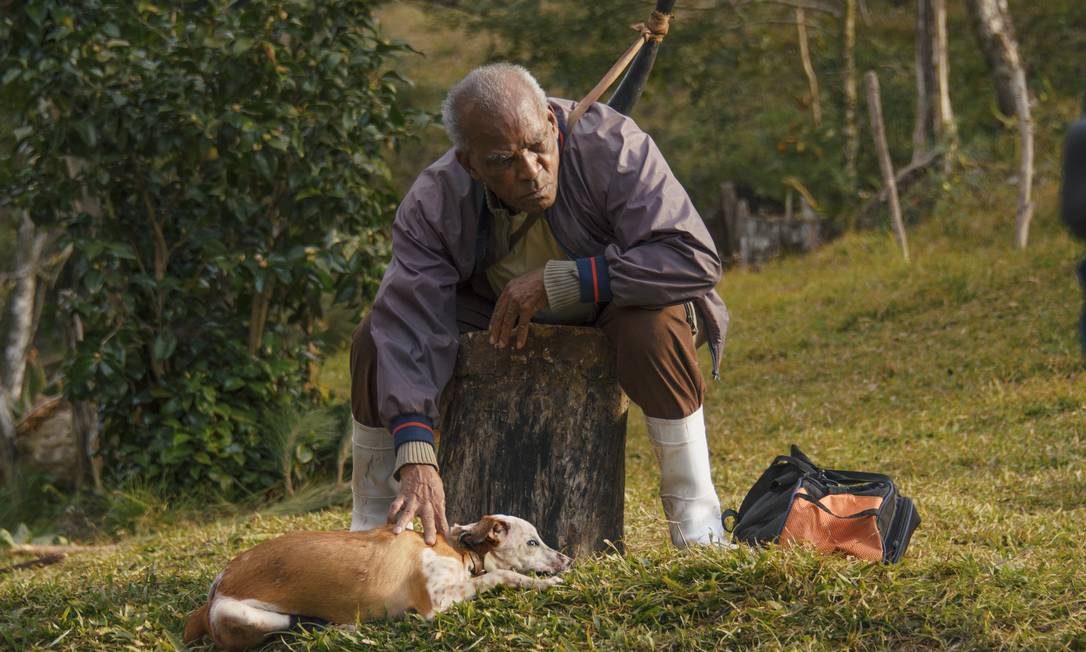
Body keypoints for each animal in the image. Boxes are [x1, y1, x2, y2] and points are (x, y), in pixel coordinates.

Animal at [182, 517, 573, 647]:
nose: (568, 560)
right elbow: (501, 574)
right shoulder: (437, 604)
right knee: (289, 626)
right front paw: (543, 583)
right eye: (533, 542)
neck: (459, 550)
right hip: (240, 614)